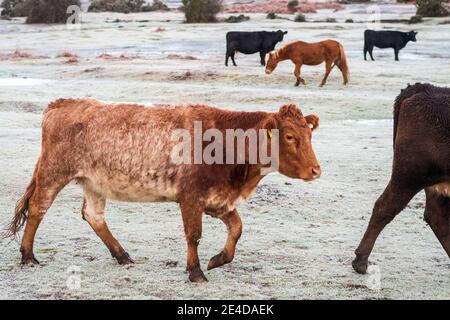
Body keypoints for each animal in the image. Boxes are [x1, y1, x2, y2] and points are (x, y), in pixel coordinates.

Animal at [3, 100, 320, 282]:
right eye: (290, 136)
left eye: (309, 134)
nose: (316, 170)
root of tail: (63, 104)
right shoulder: (191, 197)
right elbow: (193, 235)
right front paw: (196, 272)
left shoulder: (219, 200)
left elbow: (237, 228)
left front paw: (217, 260)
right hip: (54, 172)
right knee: (38, 208)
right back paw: (28, 256)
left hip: (94, 182)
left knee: (93, 216)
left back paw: (122, 255)